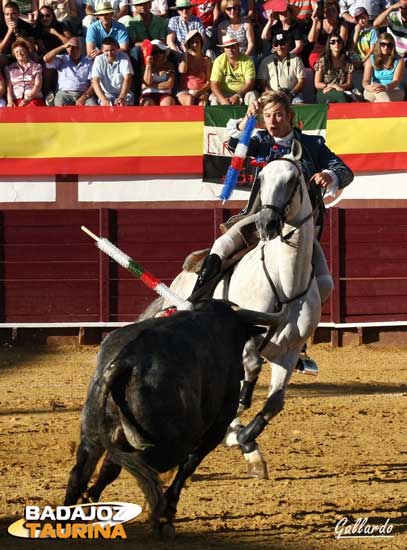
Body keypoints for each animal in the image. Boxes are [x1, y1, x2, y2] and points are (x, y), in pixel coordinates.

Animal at [64, 300, 284, 536]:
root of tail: (127, 360)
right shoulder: (216, 427)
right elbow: (190, 463)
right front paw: (169, 509)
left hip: (93, 432)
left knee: (83, 471)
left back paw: (70, 516)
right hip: (171, 444)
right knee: (144, 468)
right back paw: (158, 515)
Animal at [163, 157, 322, 480]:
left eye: (293, 180)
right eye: (261, 179)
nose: (267, 223)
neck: (286, 282)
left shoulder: (288, 353)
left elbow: (273, 403)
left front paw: (245, 440)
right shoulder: (246, 340)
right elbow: (249, 375)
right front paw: (235, 435)